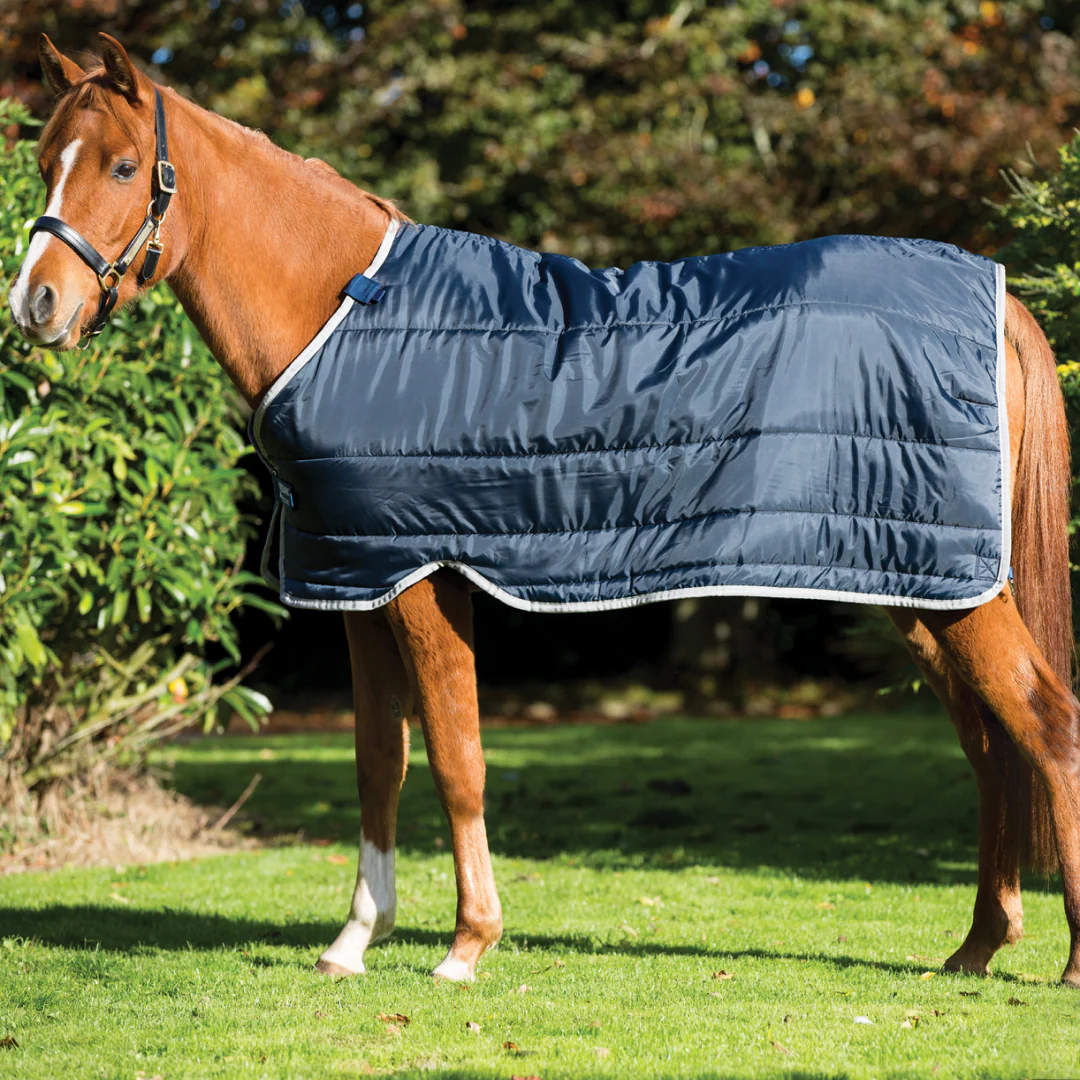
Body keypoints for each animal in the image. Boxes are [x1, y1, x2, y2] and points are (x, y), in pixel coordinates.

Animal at [9, 33, 1080, 988]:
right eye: (44, 157)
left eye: (121, 165)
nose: (36, 304)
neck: (345, 313)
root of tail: (997, 298)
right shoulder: (357, 581)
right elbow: (378, 761)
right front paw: (354, 942)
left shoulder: (424, 577)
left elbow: (457, 758)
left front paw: (466, 945)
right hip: (918, 584)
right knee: (991, 743)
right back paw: (977, 946)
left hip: (956, 591)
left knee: (1046, 721)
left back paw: (1061, 962)